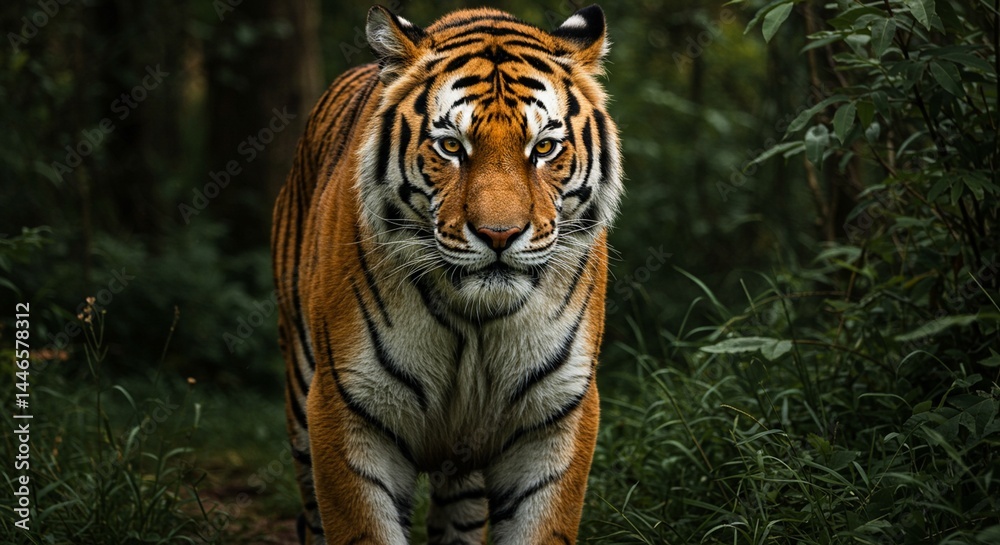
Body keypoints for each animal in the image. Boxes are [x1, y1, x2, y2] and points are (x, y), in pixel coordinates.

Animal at [271, 4, 623, 544]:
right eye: (452, 147)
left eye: (543, 148)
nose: (500, 235)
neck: (476, 320)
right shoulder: (346, 410)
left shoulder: (557, 416)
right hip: (299, 389)